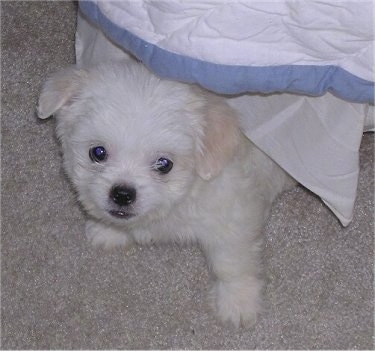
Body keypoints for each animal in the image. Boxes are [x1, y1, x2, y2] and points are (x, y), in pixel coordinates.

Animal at [39, 59, 296, 328]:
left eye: (164, 164)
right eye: (97, 153)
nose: (122, 194)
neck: (183, 198)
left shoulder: (233, 217)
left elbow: (231, 263)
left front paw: (238, 302)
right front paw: (107, 230)